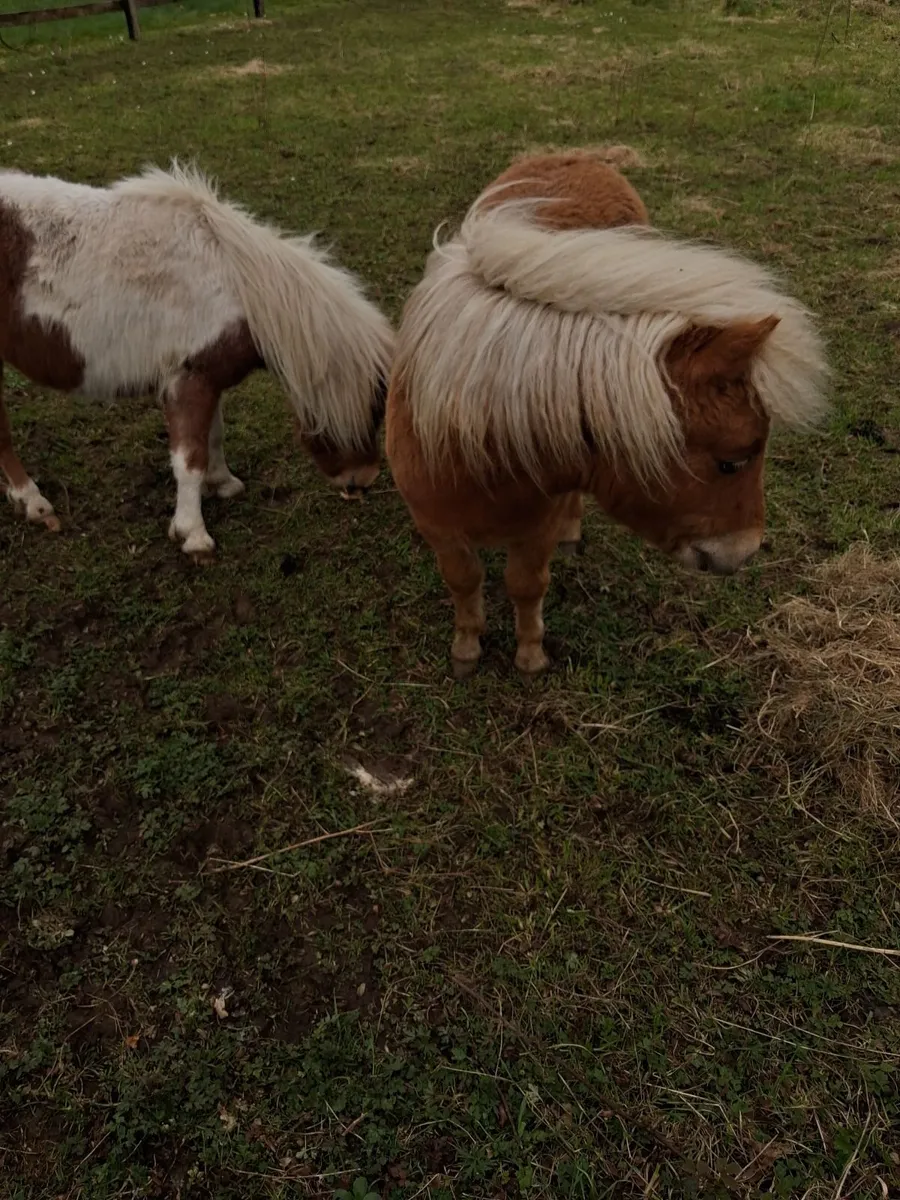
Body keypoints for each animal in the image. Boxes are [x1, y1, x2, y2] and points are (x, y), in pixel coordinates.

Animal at [0, 162, 393, 558]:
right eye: (373, 409)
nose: (362, 481)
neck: (238, 290)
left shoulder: (209, 379)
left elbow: (213, 435)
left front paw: (223, 483)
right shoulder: (187, 381)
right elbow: (190, 459)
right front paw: (193, 535)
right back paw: (33, 502)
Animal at [385, 150, 829, 677]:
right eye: (733, 461)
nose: (745, 551)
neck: (471, 439)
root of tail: (580, 156)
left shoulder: (535, 528)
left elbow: (525, 584)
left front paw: (530, 654)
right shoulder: (436, 525)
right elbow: (463, 580)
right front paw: (467, 647)